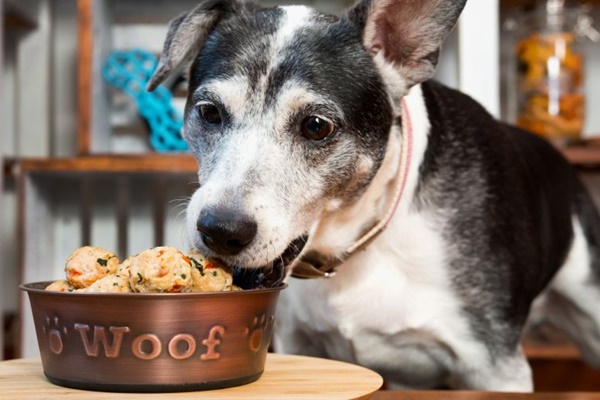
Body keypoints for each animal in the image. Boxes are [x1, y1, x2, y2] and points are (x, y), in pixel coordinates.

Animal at [148, 0, 600, 390]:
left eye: (316, 126)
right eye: (209, 112)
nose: (220, 231)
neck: (357, 240)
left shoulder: (495, 368)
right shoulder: (300, 344)